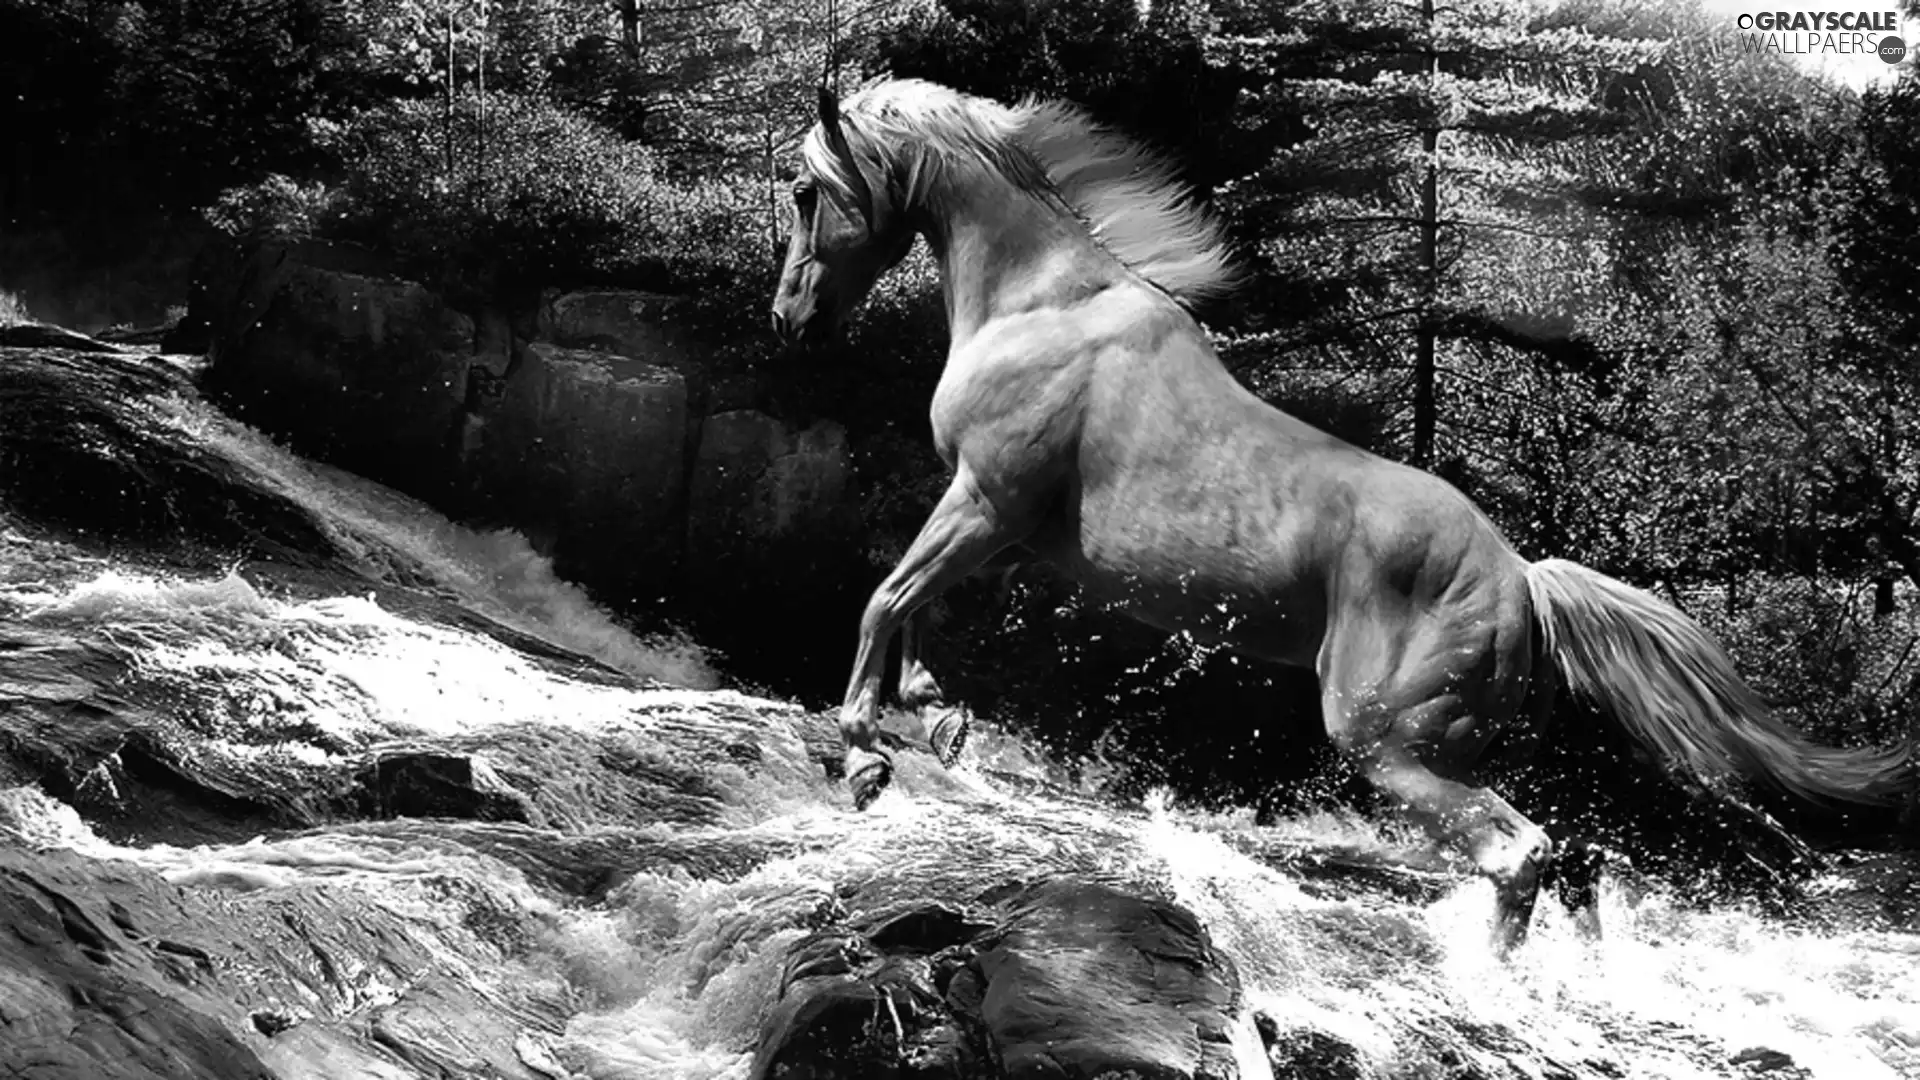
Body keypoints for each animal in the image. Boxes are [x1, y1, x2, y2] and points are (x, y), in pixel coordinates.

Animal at [768, 79, 1920, 945]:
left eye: (804, 189)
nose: (789, 315)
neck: (1045, 303)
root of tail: (1522, 579)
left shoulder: (986, 498)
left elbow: (884, 597)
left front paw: (867, 749)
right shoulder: (1004, 525)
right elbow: (922, 606)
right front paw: (934, 711)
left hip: (1387, 743)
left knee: (1520, 851)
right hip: (1459, 746)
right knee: (1570, 860)